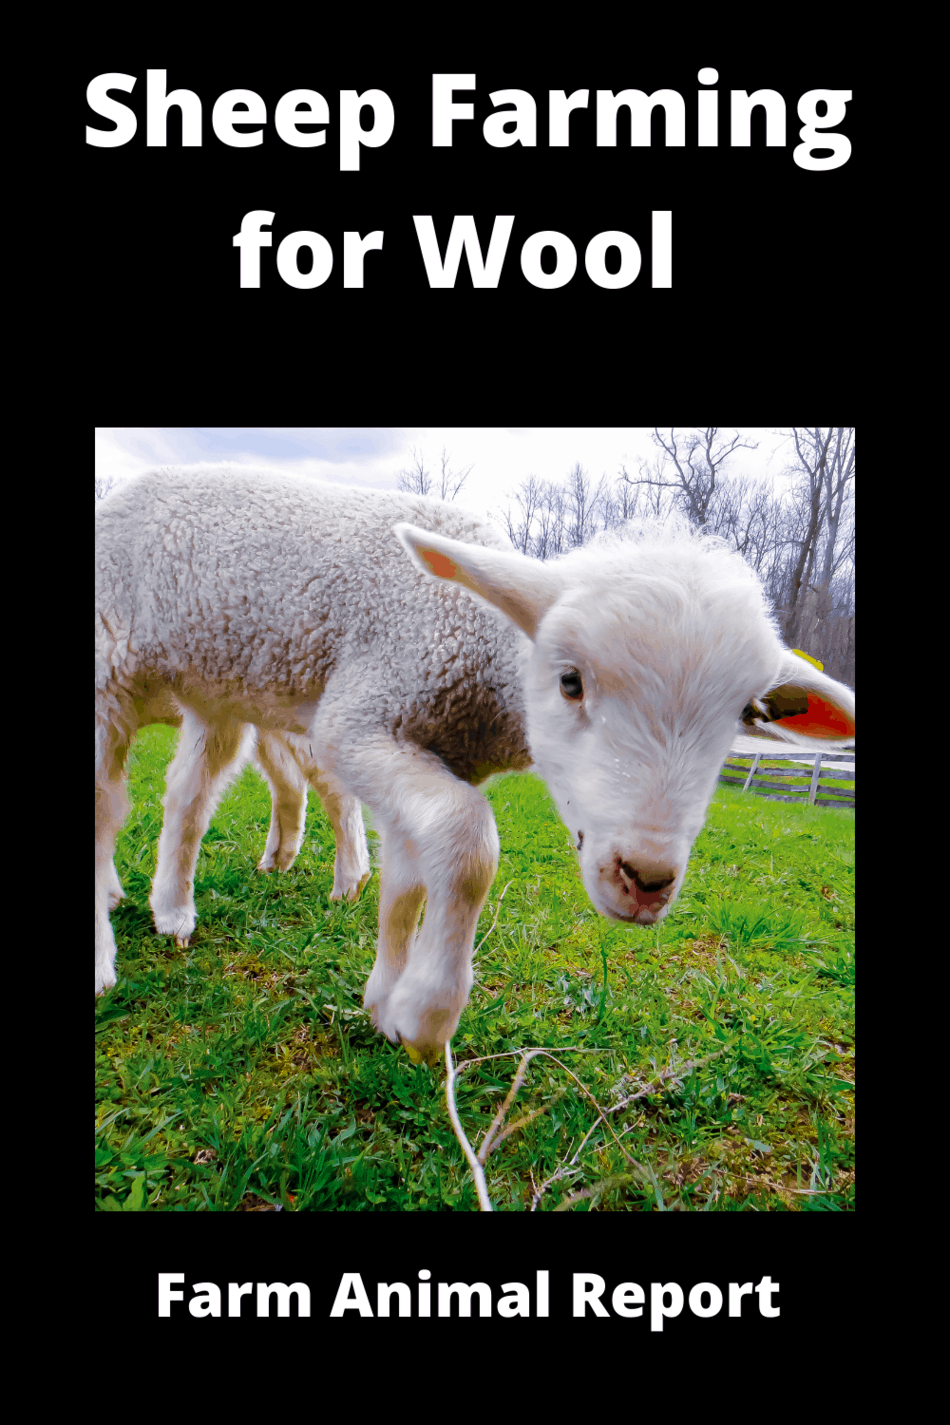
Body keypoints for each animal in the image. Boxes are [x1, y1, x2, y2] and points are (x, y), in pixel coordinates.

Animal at [95, 465, 855, 1065]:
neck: (480, 643)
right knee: (107, 808)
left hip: (214, 692)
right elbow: (465, 845)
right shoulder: (361, 722)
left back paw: (172, 909)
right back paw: (104, 946)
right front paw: (426, 1013)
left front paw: (384, 997)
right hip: (107, 674)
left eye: (747, 714)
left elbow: (406, 886)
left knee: (187, 799)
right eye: (569, 681)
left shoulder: (428, 754)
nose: (645, 879)